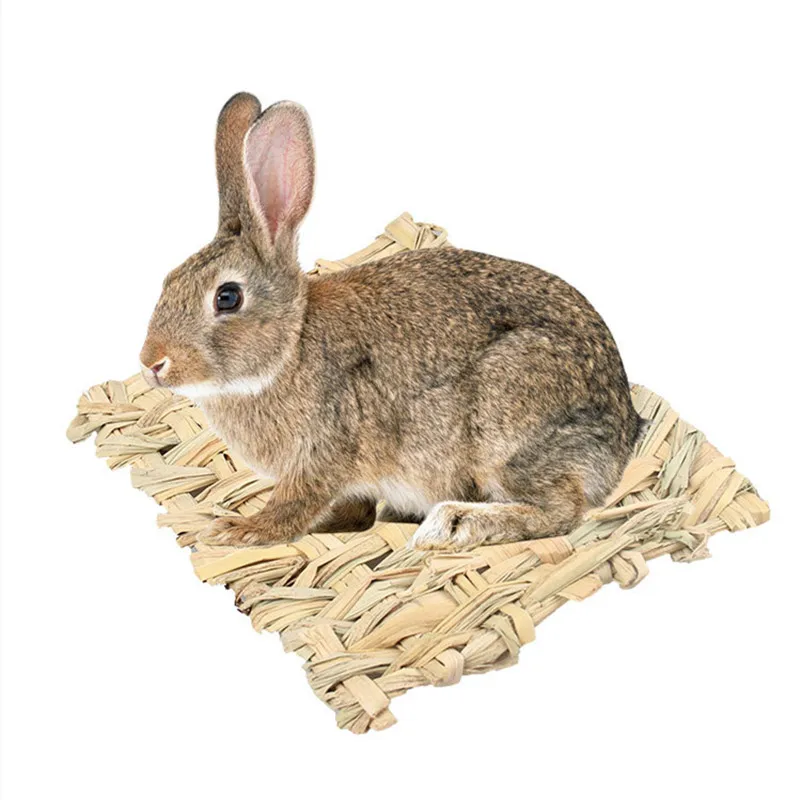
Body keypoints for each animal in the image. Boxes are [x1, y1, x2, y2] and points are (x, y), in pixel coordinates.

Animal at [139, 92, 642, 551]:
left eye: (227, 297)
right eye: (168, 280)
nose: (152, 363)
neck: (290, 347)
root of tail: (623, 433)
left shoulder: (324, 452)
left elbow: (294, 504)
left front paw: (238, 529)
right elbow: (351, 511)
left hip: (508, 421)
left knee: (561, 511)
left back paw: (454, 524)